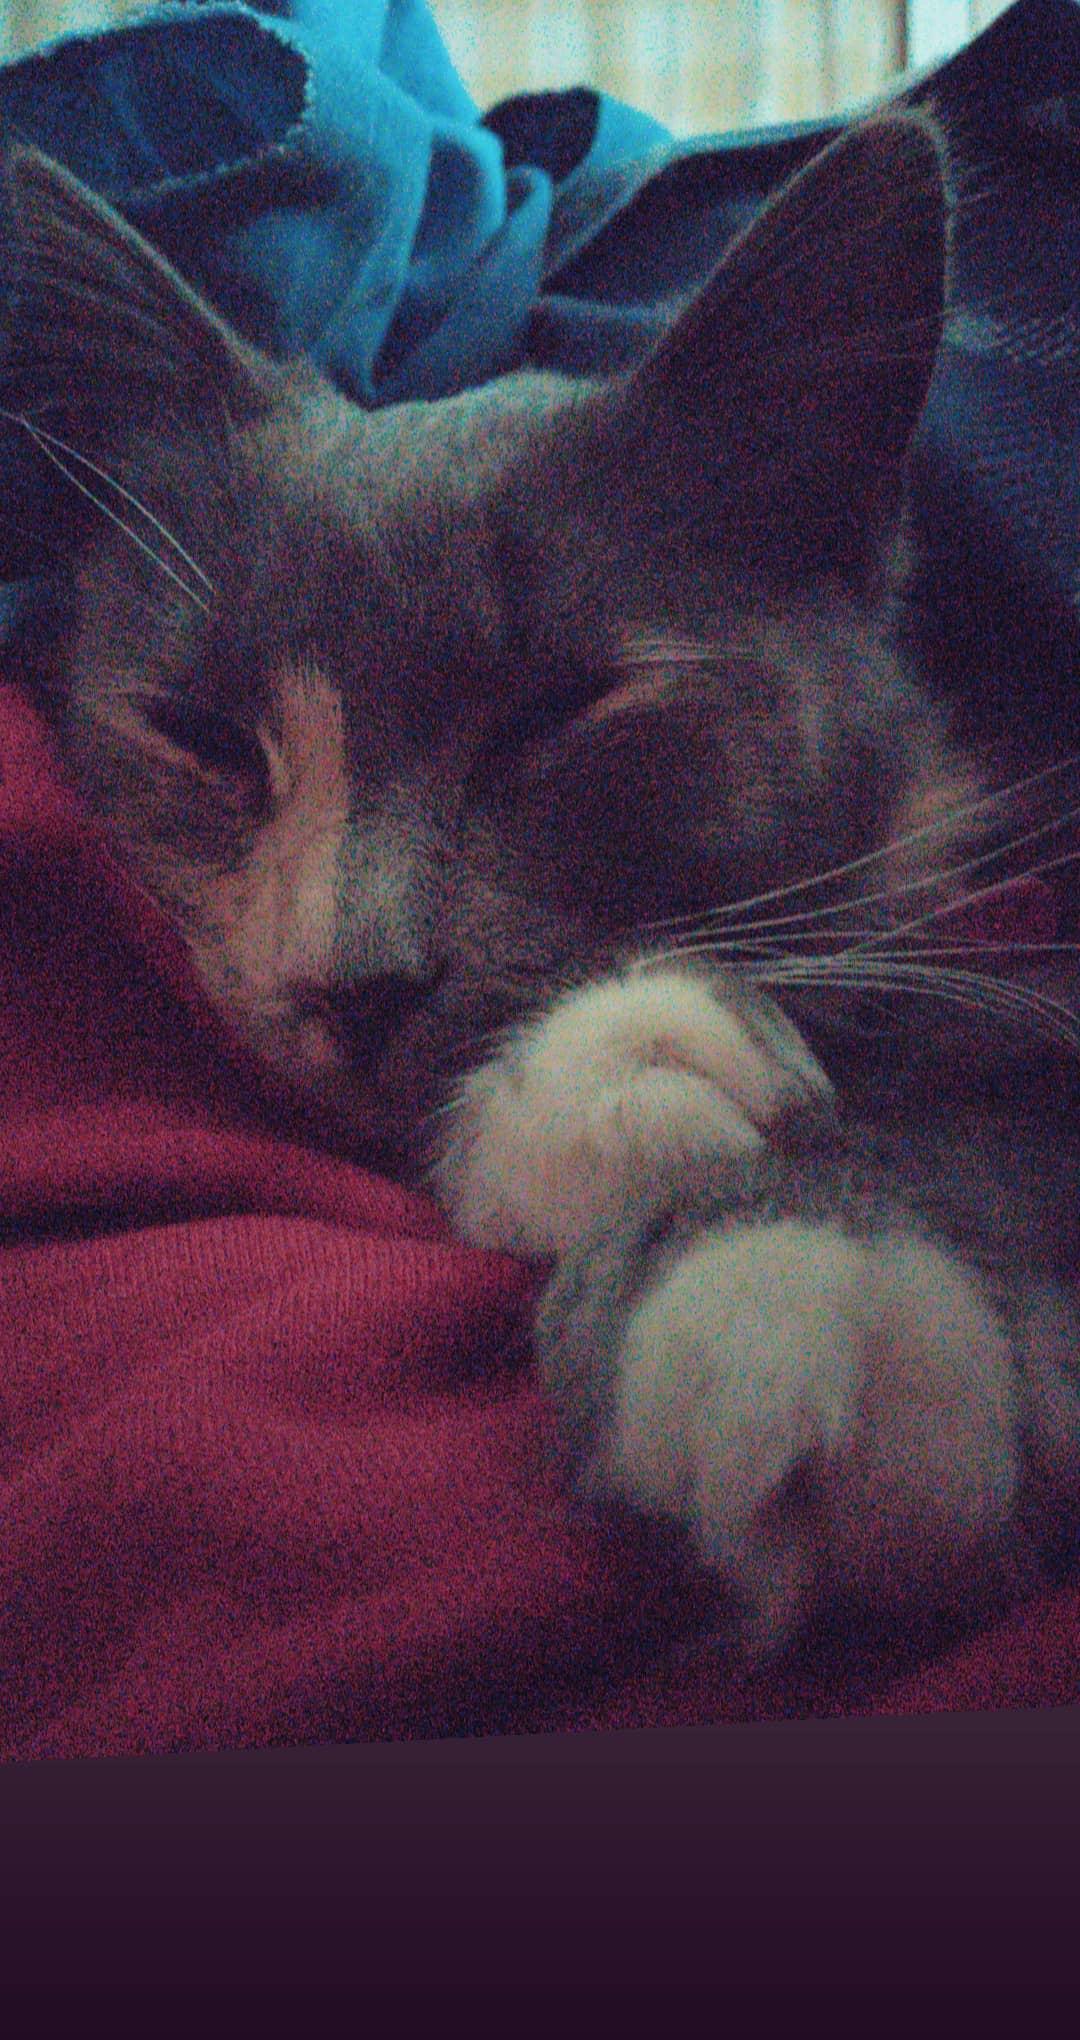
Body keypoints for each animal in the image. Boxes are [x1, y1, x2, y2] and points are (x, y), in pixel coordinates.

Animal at [5, 112, 1080, 1667]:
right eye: (200, 733)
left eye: (556, 713)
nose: (354, 975)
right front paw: (617, 1090)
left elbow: (1002, 1050)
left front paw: (803, 1289)